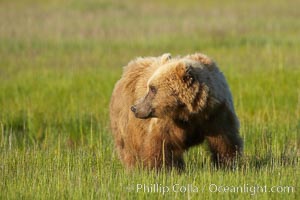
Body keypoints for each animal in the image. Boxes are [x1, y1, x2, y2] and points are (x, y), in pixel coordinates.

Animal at [109, 53, 243, 170]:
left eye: (152, 89)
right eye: (148, 87)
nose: (135, 108)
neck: (189, 111)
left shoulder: (216, 114)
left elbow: (225, 142)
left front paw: (229, 165)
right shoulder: (168, 122)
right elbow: (160, 144)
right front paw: (159, 169)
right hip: (126, 121)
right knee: (129, 147)